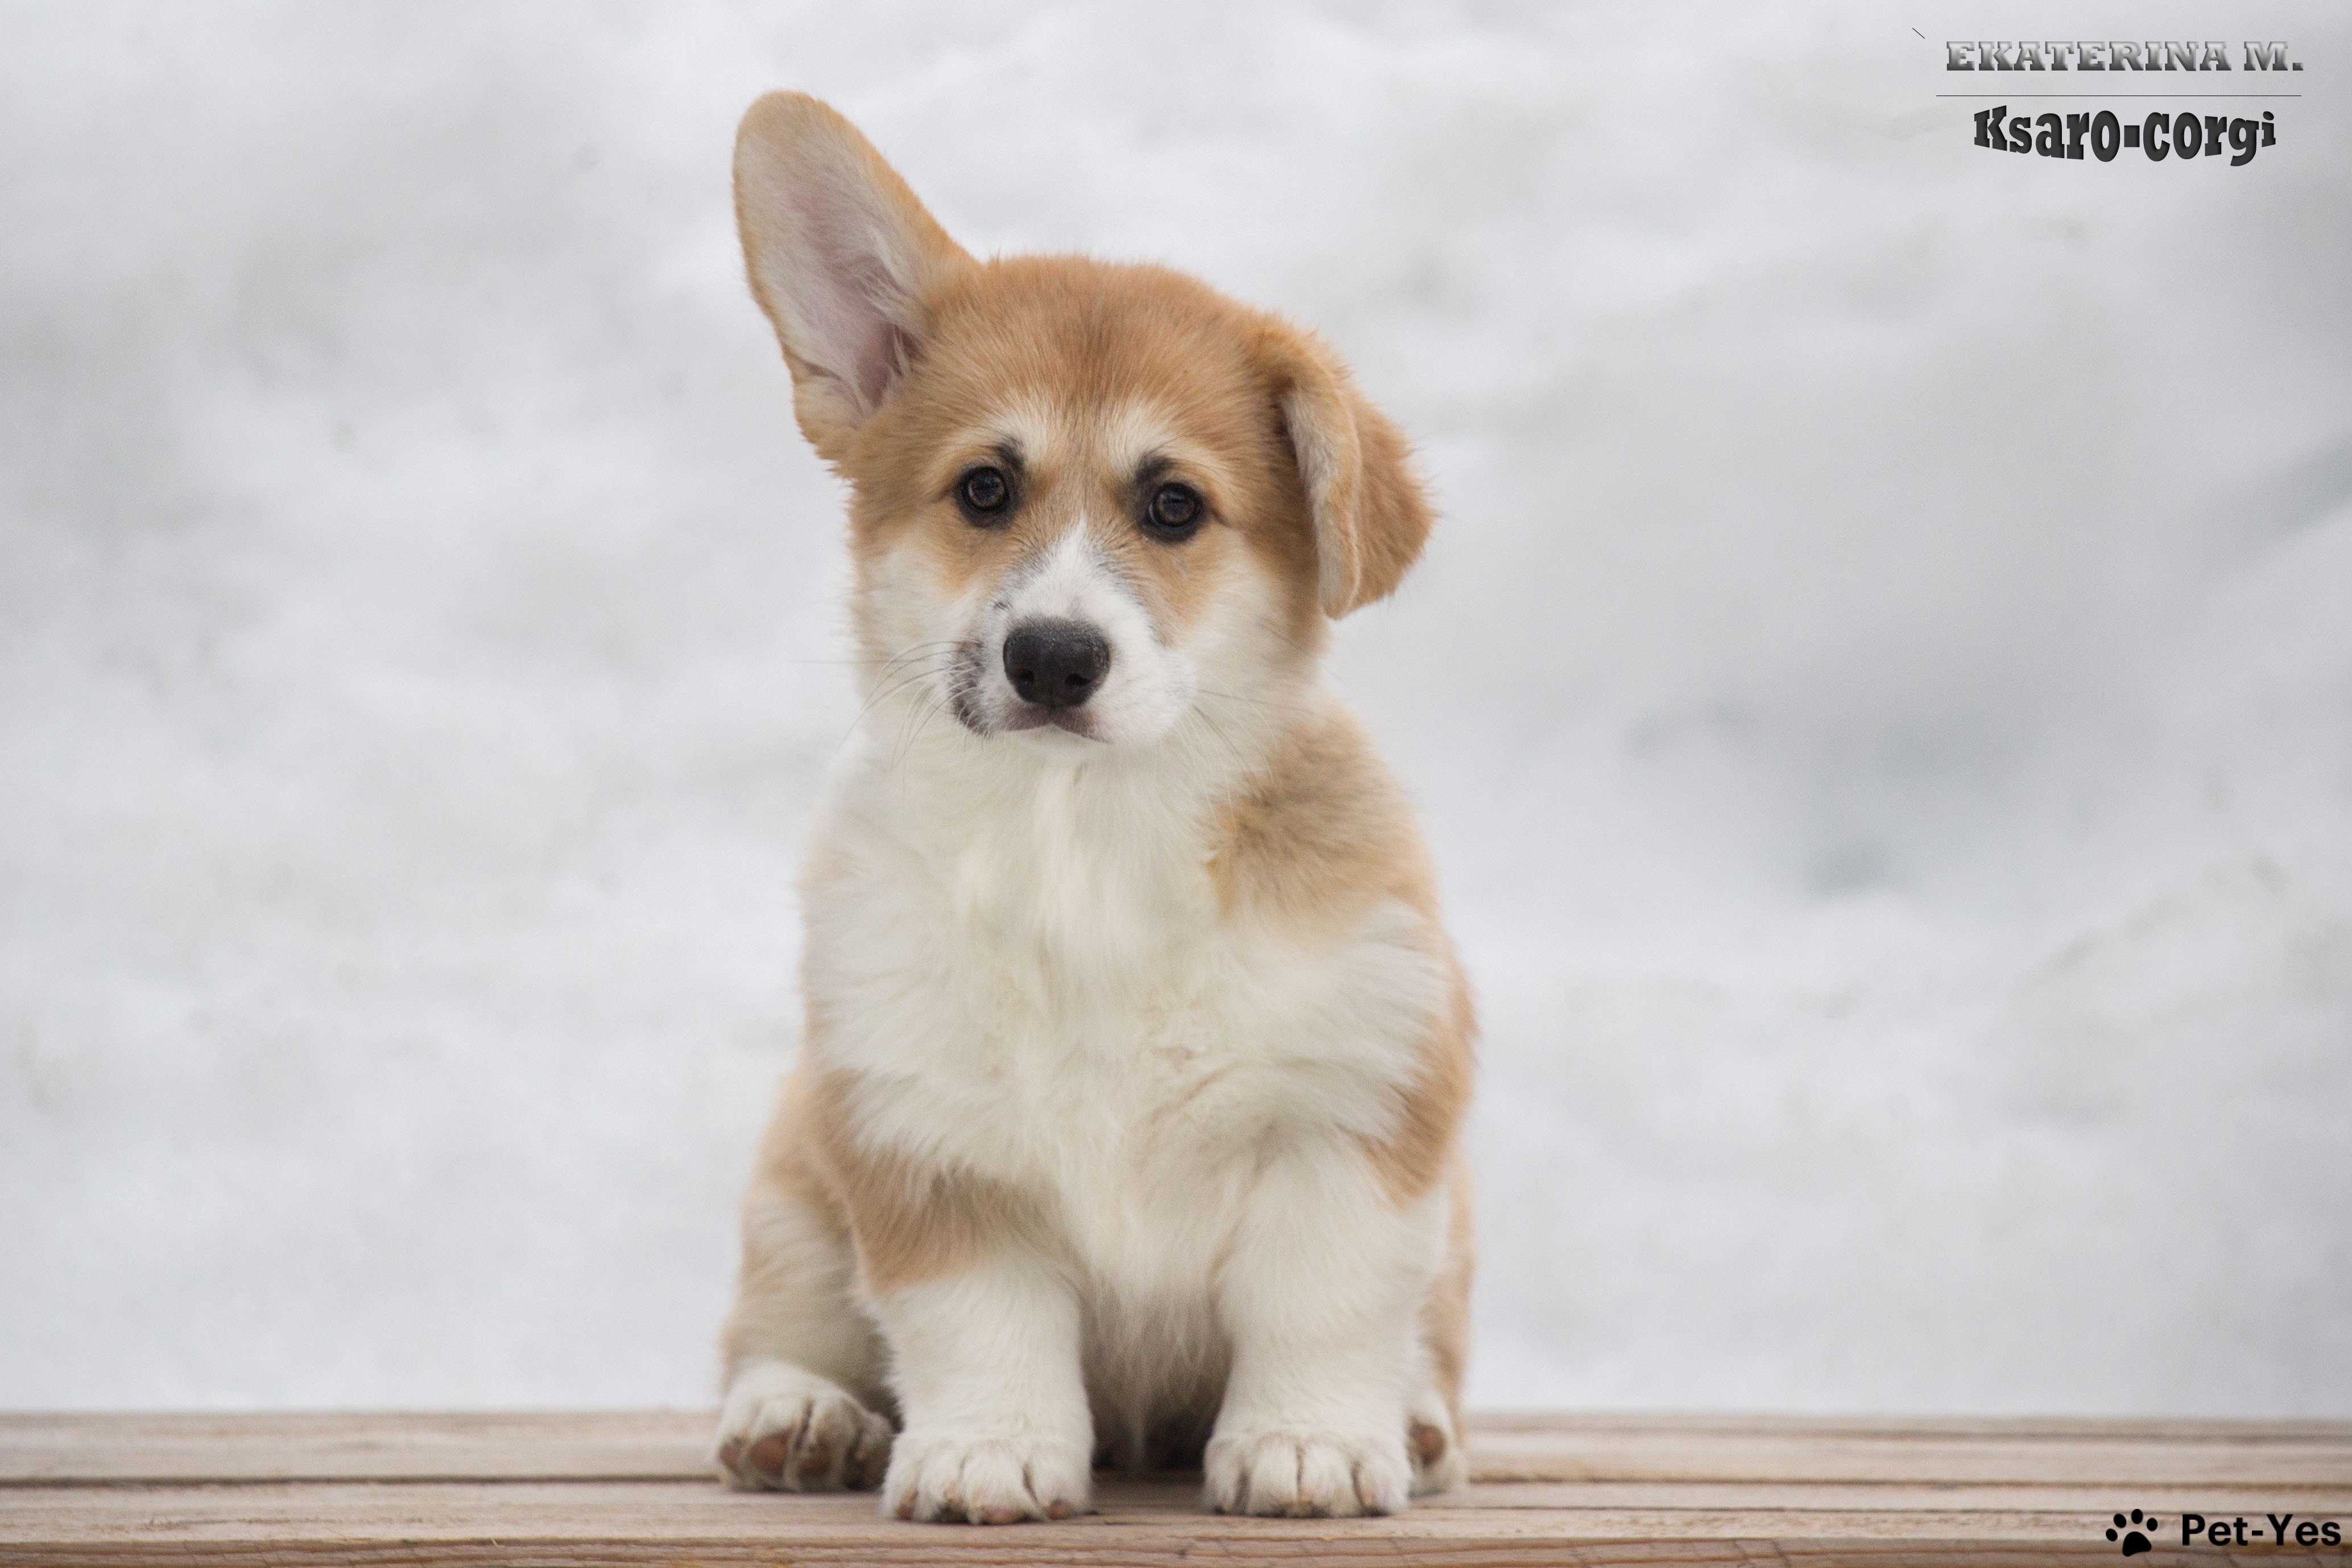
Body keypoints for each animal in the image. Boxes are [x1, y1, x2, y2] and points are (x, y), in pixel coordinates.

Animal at [710, 95, 1468, 1523]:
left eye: (1173, 505)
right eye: (984, 490)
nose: (1054, 659)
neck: (1084, 843)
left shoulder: (1352, 1109)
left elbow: (1321, 1302)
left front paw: (1309, 1443)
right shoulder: (922, 1143)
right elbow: (977, 1324)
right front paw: (986, 1451)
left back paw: (1416, 1420)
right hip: (792, 1176)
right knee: (777, 1323)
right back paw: (797, 1414)